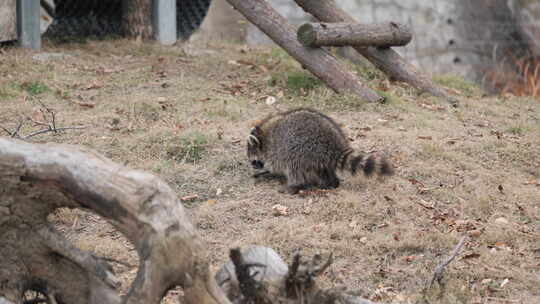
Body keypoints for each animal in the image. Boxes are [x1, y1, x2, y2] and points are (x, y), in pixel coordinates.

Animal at [248, 109, 392, 194]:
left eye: (254, 161)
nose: (254, 166)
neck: (263, 136)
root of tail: (335, 145)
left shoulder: (275, 150)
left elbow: (277, 166)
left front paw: (268, 173)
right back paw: (331, 183)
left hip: (303, 149)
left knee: (294, 167)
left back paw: (294, 186)